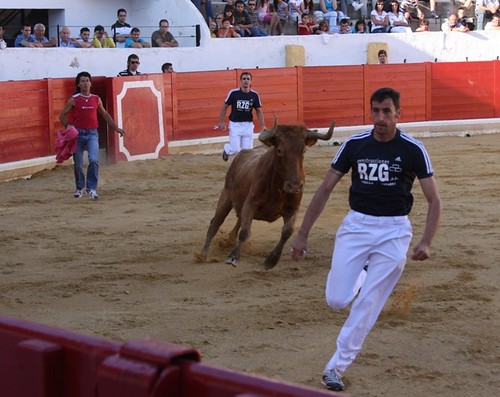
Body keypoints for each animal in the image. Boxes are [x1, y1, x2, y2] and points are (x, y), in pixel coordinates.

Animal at [199, 119, 336, 268]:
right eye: (279, 150)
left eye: (304, 150)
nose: (294, 186)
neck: (278, 189)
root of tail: (242, 153)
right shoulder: (250, 204)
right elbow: (245, 232)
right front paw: (233, 257)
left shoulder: (293, 209)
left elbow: (287, 232)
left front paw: (272, 260)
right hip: (226, 194)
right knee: (216, 222)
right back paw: (203, 254)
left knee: (239, 219)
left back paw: (229, 240)